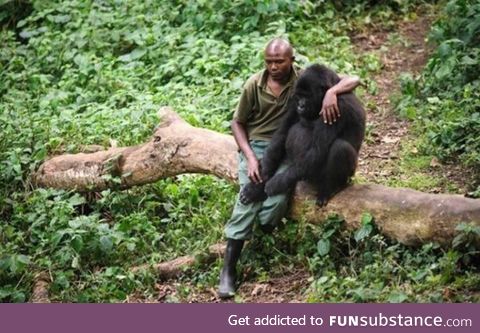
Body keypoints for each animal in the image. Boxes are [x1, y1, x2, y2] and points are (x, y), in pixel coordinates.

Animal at [242, 63, 366, 205]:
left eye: (307, 96)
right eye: (299, 96)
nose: (300, 106)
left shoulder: (338, 105)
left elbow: (317, 150)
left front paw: (276, 184)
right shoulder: (293, 99)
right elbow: (282, 133)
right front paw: (258, 185)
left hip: (349, 175)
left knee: (340, 147)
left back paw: (332, 188)